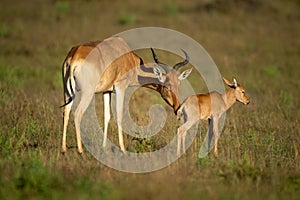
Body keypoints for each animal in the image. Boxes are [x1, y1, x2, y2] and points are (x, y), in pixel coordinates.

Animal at [61, 36, 191, 154]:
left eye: (178, 83)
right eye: (167, 85)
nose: (178, 108)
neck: (127, 56)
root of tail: (75, 55)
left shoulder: (106, 91)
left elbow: (107, 116)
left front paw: (104, 147)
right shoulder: (120, 88)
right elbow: (119, 115)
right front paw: (123, 149)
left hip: (68, 92)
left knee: (66, 112)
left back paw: (63, 149)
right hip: (87, 92)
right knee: (77, 113)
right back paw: (81, 150)